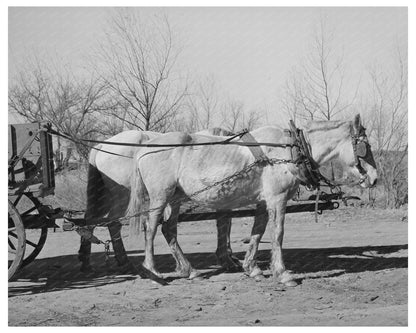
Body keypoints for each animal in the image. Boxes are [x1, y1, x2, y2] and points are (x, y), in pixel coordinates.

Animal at [79, 126, 239, 272]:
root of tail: (102, 145)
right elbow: (224, 223)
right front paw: (226, 258)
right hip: (123, 197)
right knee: (113, 223)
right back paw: (124, 262)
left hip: (105, 197)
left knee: (91, 219)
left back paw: (86, 260)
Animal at [126, 114, 376, 286]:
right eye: (365, 146)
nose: (374, 178)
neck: (288, 150)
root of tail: (145, 148)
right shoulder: (277, 199)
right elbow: (278, 234)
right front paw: (282, 273)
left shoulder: (263, 202)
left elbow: (258, 232)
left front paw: (252, 267)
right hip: (160, 196)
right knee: (151, 228)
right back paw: (153, 271)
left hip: (175, 197)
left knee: (169, 229)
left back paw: (190, 271)